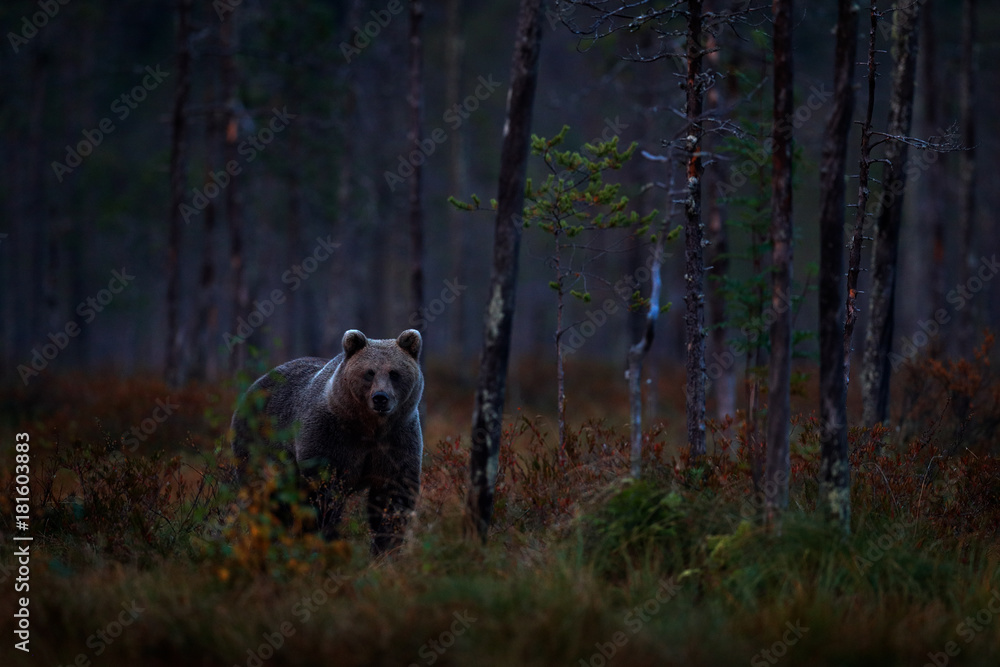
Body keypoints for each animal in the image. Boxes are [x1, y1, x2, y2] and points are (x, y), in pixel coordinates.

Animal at [230, 329, 423, 554]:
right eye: (369, 372)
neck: (368, 427)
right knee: (269, 495)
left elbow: (393, 496)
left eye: (394, 373)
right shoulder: (330, 437)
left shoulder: (396, 440)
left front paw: (386, 548)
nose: (380, 398)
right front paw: (324, 539)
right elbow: (324, 492)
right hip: (259, 441)